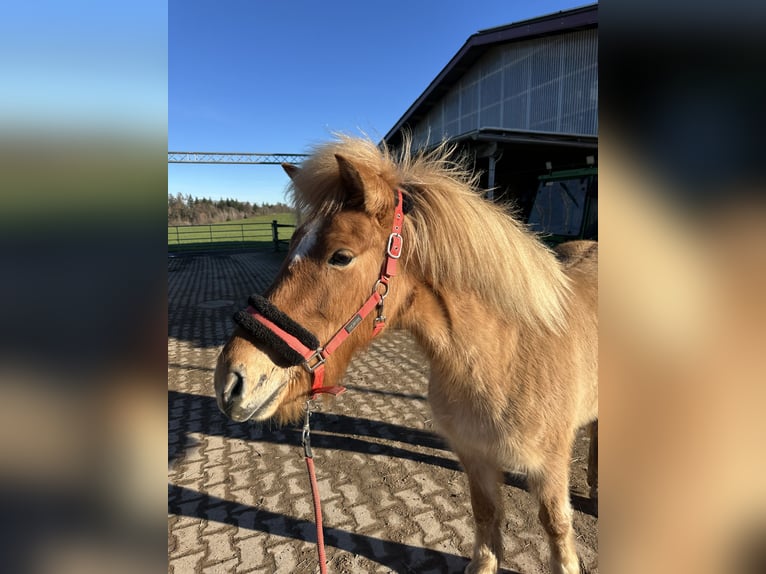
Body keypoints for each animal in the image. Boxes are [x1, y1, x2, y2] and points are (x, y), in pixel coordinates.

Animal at [214, 136, 600, 574]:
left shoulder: (550, 467)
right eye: (293, 242)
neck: (504, 357)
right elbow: (486, 514)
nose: (231, 379)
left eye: (341, 256)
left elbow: (556, 525)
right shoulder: (475, 457)